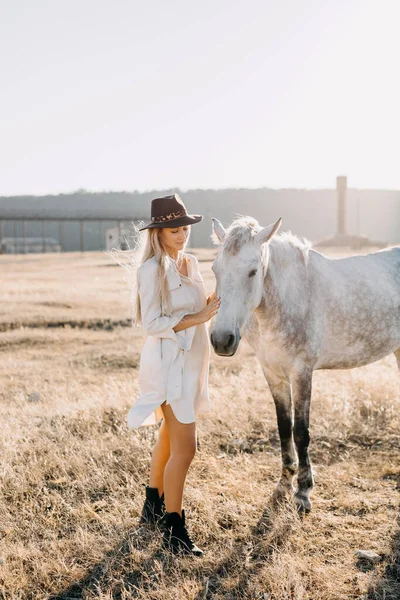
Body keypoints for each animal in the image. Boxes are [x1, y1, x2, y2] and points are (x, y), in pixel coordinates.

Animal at [211, 216, 398, 510]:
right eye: (215, 270)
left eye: (252, 271)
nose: (221, 340)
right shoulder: (272, 373)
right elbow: (283, 425)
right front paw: (286, 476)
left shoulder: (301, 373)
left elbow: (301, 431)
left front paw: (303, 491)